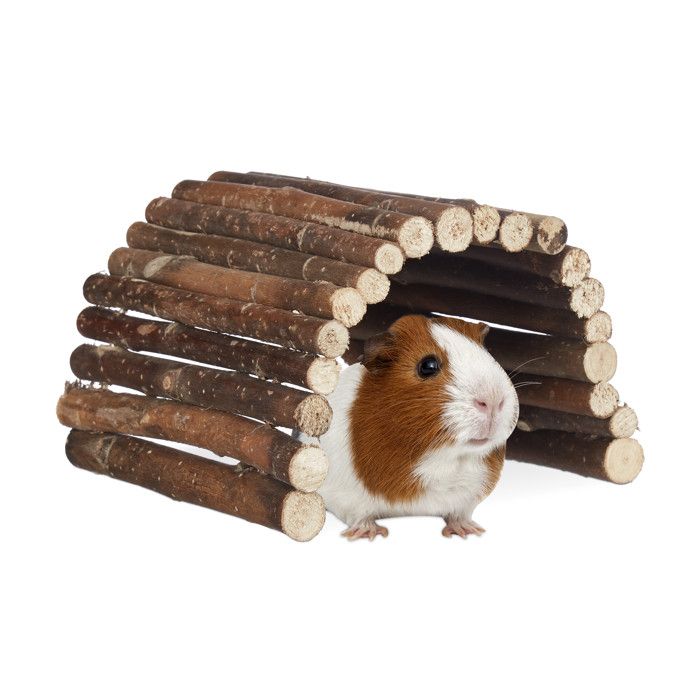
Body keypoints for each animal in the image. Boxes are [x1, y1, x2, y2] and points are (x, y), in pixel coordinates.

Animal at [317, 315, 519, 540]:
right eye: (428, 366)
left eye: (488, 354)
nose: (493, 401)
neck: (444, 460)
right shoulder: (347, 497)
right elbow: (360, 516)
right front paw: (370, 533)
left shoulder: (467, 499)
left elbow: (459, 514)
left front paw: (468, 531)